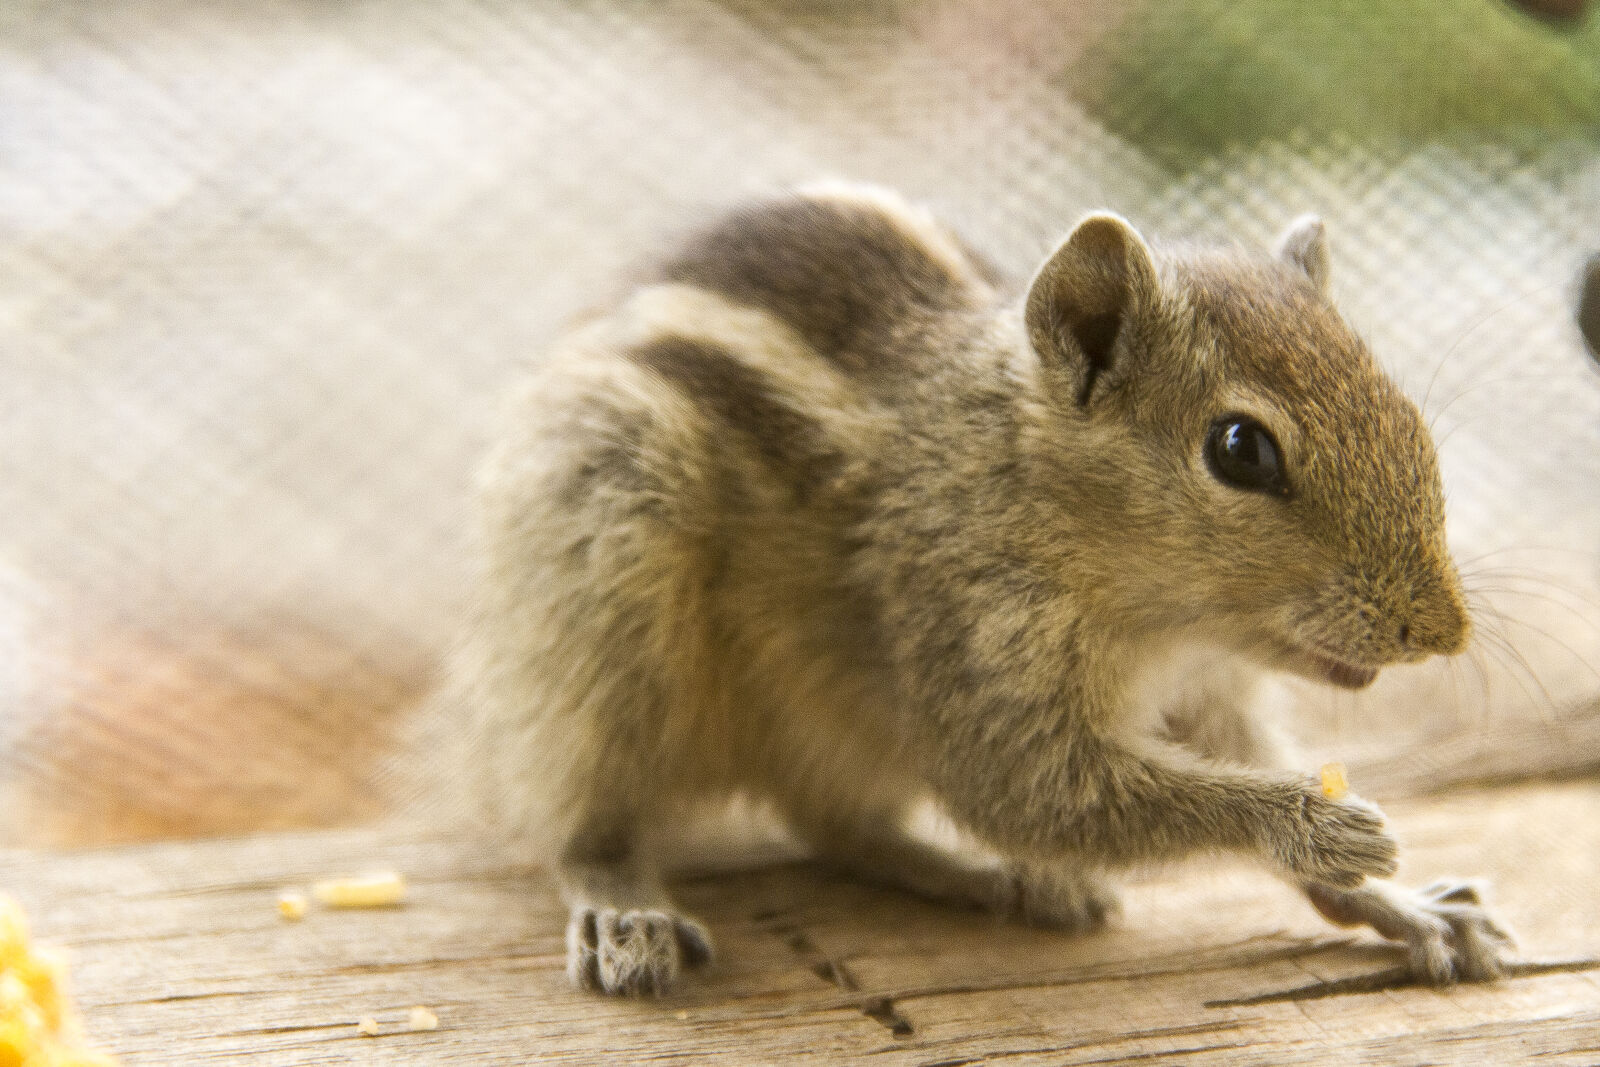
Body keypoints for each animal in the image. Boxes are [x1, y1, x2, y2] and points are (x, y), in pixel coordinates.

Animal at [465, 182, 1512, 996]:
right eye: (1241, 450)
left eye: (1405, 412)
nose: (1444, 631)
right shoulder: (971, 637)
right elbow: (1028, 788)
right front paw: (1319, 827)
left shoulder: (1207, 688)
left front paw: (1410, 906)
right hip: (603, 571)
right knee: (585, 814)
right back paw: (623, 907)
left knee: (837, 825)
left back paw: (994, 877)